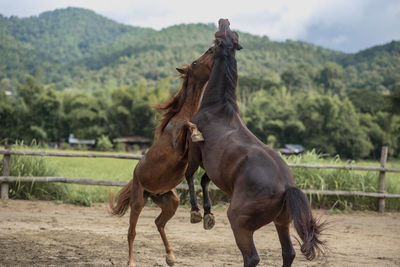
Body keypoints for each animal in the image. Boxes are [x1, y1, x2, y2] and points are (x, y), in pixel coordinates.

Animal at [109, 47, 216, 266]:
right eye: (194, 63)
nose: (212, 49)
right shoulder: (179, 146)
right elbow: (188, 127)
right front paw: (195, 132)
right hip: (138, 202)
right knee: (131, 232)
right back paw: (131, 261)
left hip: (170, 201)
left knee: (159, 223)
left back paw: (170, 256)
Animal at [184, 19, 324, 267]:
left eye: (210, 48)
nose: (193, 63)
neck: (218, 108)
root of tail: (286, 187)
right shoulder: (215, 167)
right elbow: (203, 181)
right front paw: (208, 214)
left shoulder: (194, 152)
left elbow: (190, 176)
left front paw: (196, 212)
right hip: (282, 222)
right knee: (288, 253)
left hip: (239, 222)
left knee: (252, 257)